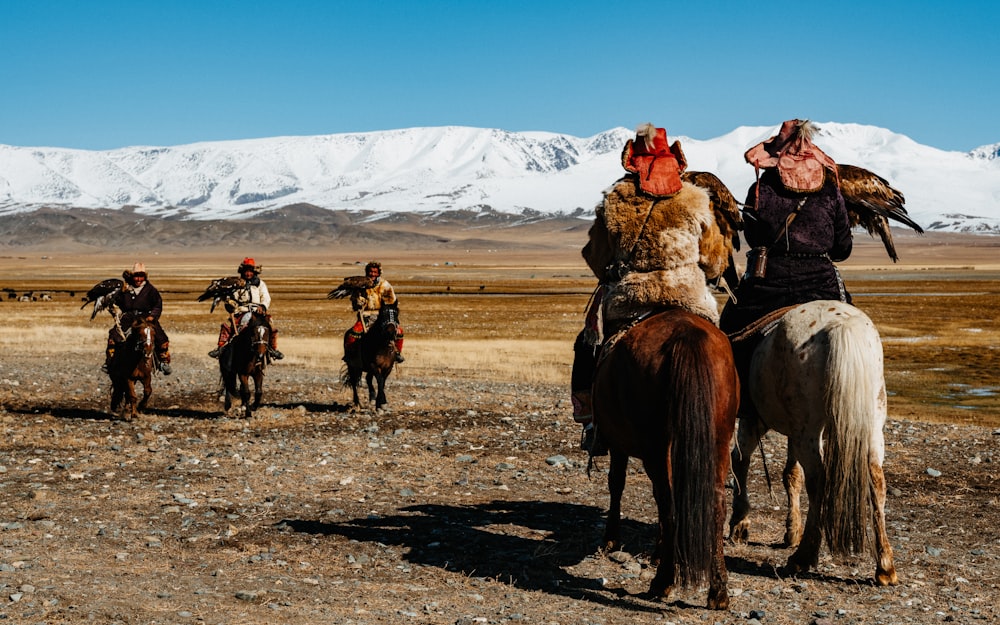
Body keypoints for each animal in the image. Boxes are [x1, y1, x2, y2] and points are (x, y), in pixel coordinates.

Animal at [588, 308, 740, 608]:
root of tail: (687, 335)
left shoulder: (617, 444)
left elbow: (616, 483)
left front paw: (611, 539)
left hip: (655, 447)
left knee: (668, 503)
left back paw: (663, 582)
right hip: (719, 438)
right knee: (716, 503)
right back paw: (718, 592)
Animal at [728, 300, 900, 588]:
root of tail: (842, 325)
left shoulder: (754, 420)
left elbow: (740, 460)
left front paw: (740, 525)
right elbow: (791, 474)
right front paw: (790, 531)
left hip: (808, 432)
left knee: (818, 482)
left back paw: (803, 556)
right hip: (870, 424)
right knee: (876, 480)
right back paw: (885, 567)